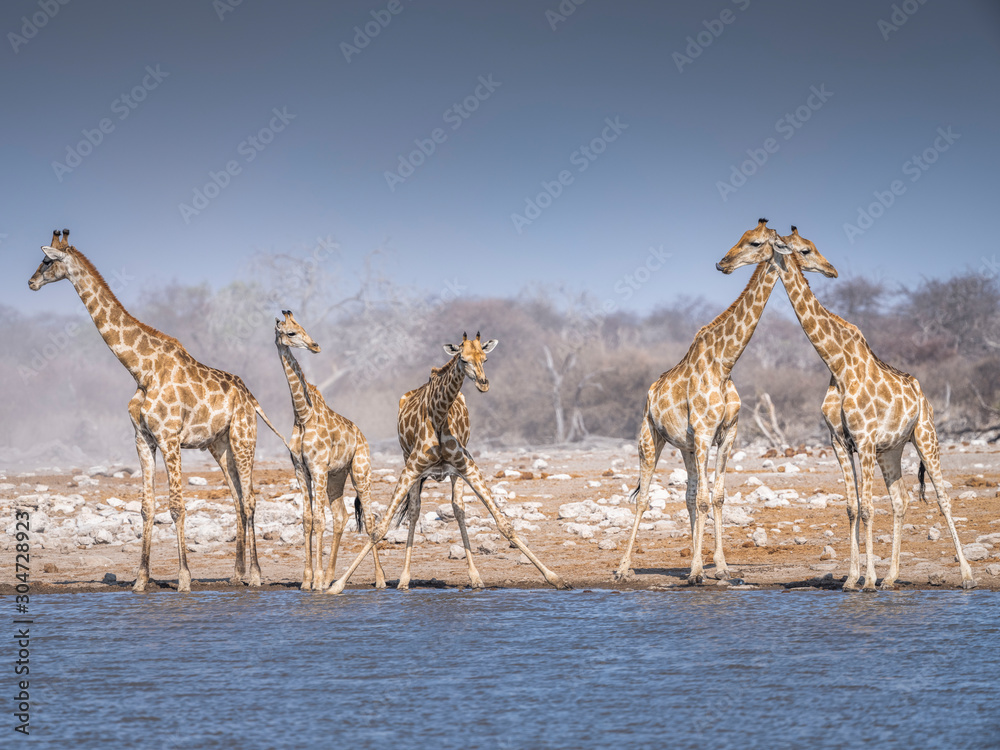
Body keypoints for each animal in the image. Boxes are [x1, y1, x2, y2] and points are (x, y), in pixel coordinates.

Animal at [29, 229, 287, 592]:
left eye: (47, 261)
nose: (31, 282)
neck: (140, 369)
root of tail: (252, 398)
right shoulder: (143, 439)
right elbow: (146, 507)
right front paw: (140, 579)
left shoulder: (169, 437)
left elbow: (177, 506)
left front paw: (184, 578)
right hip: (219, 445)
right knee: (237, 498)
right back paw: (237, 574)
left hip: (244, 438)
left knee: (249, 499)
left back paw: (257, 575)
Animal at [275, 311, 386, 590]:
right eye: (291, 332)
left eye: (302, 327)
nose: (315, 346)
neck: (303, 416)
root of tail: (362, 436)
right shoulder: (301, 469)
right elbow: (307, 520)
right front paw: (308, 580)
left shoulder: (317, 468)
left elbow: (318, 520)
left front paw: (315, 581)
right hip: (337, 476)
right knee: (341, 517)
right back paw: (329, 577)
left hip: (360, 472)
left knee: (369, 519)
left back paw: (379, 579)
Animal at [327, 332, 567, 593]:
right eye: (463, 359)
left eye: (485, 358)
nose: (483, 383)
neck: (440, 416)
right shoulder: (411, 469)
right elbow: (380, 529)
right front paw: (336, 586)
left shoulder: (468, 466)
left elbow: (504, 524)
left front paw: (555, 578)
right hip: (409, 461)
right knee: (414, 511)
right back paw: (404, 578)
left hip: (453, 473)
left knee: (458, 508)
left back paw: (475, 577)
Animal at [615, 219, 838, 585]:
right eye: (805, 249)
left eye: (754, 242)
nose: (723, 264)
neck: (725, 363)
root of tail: (650, 392)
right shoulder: (706, 433)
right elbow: (706, 500)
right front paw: (696, 571)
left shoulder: (727, 434)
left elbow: (716, 498)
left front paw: (719, 567)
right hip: (650, 438)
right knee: (644, 498)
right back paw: (623, 568)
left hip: (686, 447)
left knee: (690, 495)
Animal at [718, 226, 975, 591]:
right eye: (806, 249)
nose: (832, 270)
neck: (837, 365)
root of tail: (923, 397)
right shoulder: (841, 442)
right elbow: (853, 507)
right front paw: (853, 579)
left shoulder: (864, 440)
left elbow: (867, 508)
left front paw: (867, 580)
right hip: (891, 450)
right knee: (901, 500)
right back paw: (891, 578)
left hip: (926, 436)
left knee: (942, 497)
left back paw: (966, 576)